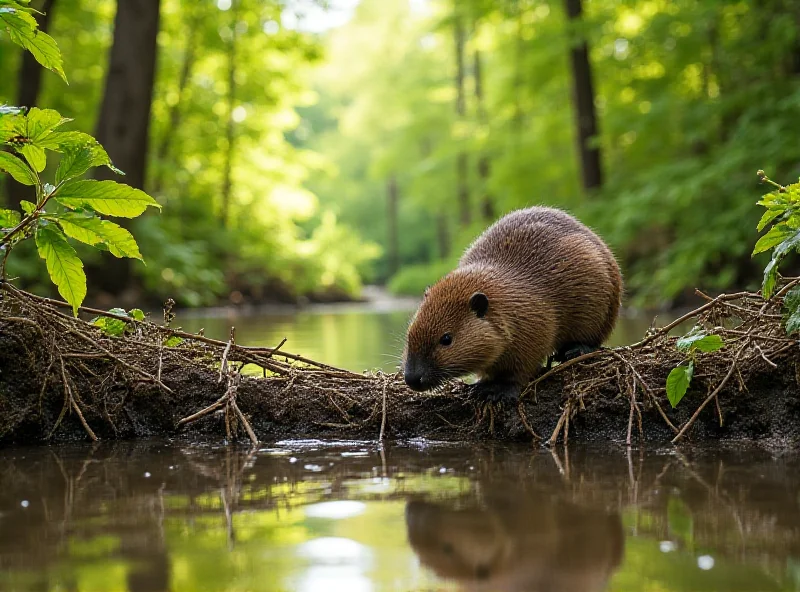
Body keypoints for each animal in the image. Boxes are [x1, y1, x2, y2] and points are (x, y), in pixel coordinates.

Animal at [404, 205, 620, 402]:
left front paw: (499, 391)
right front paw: (480, 384)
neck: (506, 300)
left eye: (446, 339)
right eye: (409, 333)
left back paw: (575, 350)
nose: (412, 378)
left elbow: (524, 367)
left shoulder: (537, 323)